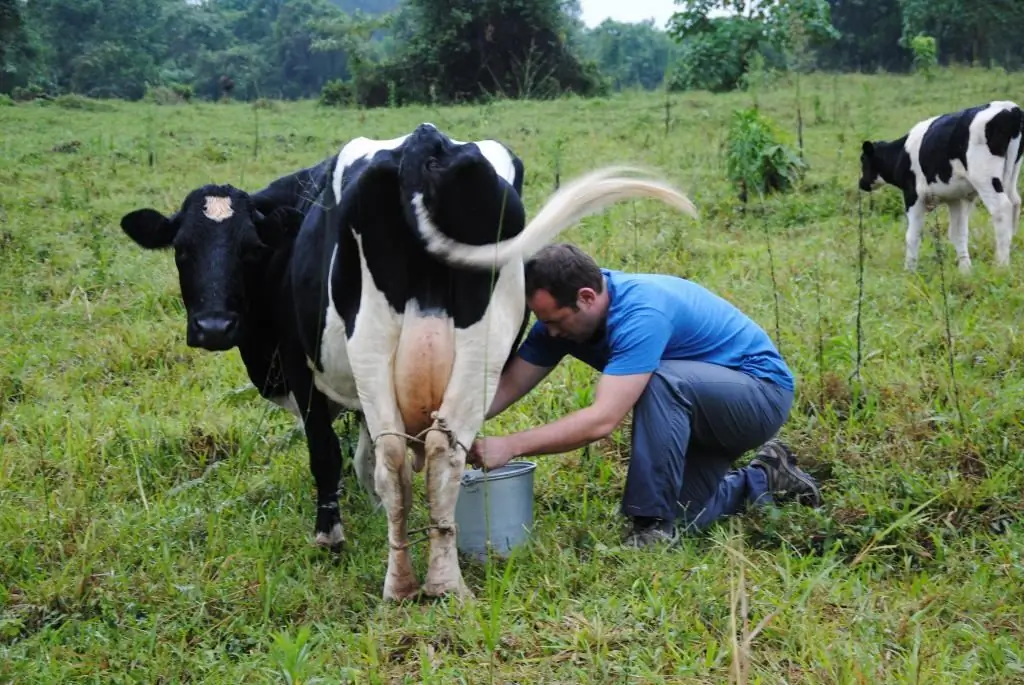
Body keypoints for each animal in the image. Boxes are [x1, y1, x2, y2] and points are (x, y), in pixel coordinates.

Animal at [117, 122, 696, 597]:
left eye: (250, 249)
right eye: (182, 250)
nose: (214, 327)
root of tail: (426, 142)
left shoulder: (302, 369)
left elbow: (329, 454)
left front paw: (330, 535)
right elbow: (366, 455)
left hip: (371, 339)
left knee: (397, 457)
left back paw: (399, 585)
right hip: (480, 348)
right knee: (441, 452)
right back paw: (443, 582)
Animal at [860, 101, 1019, 272]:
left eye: (863, 160)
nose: (861, 183)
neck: (902, 154)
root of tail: (1009, 108)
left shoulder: (913, 195)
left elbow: (912, 235)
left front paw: (909, 270)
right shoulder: (956, 198)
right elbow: (958, 233)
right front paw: (965, 270)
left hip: (985, 178)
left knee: (1001, 208)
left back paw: (1001, 266)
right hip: (1010, 175)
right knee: (1015, 203)